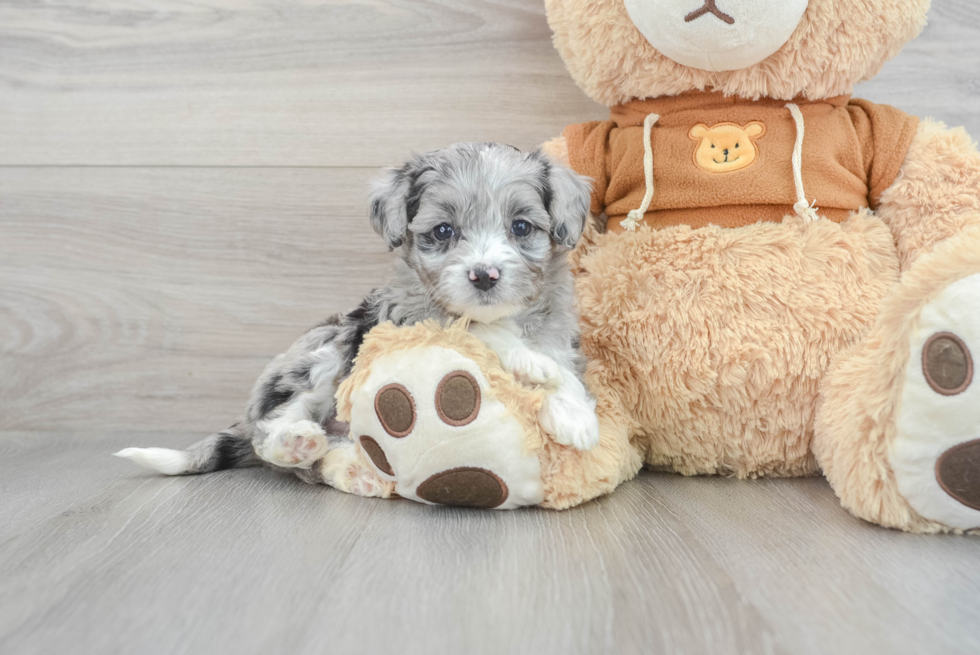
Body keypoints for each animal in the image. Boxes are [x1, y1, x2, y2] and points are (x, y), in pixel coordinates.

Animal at [118, 142, 600, 492]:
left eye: (521, 227)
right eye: (443, 231)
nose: (484, 275)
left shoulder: (559, 333)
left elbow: (563, 371)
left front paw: (573, 412)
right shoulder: (409, 316)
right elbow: (477, 330)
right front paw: (529, 361)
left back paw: (354, 470)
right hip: (324, 350)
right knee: (271, 435)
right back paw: (297, 443)